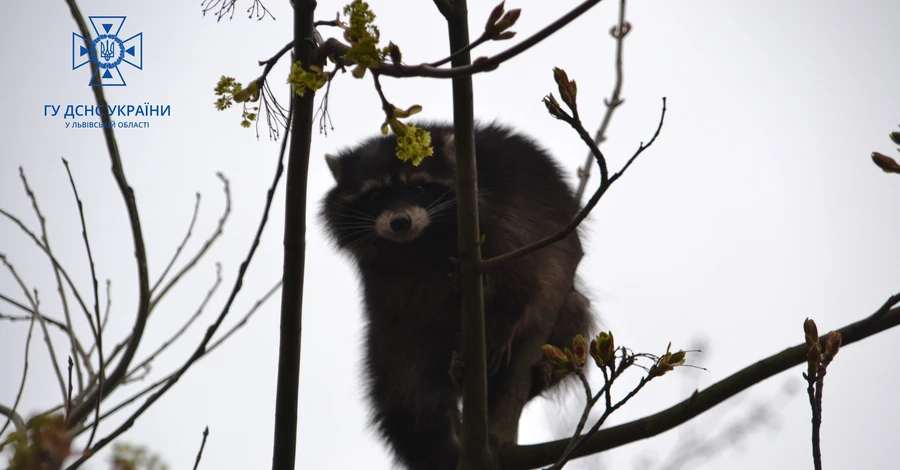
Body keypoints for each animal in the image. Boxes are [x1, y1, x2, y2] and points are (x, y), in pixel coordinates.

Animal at [320, 123, 596, 470]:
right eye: (375, 195)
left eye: (419, 188)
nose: (400, 223)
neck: (423, 241)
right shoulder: (389, 273)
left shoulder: (510, 214)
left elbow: (525, 275)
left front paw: (506, 321)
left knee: (575, 308)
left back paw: (544, 366)